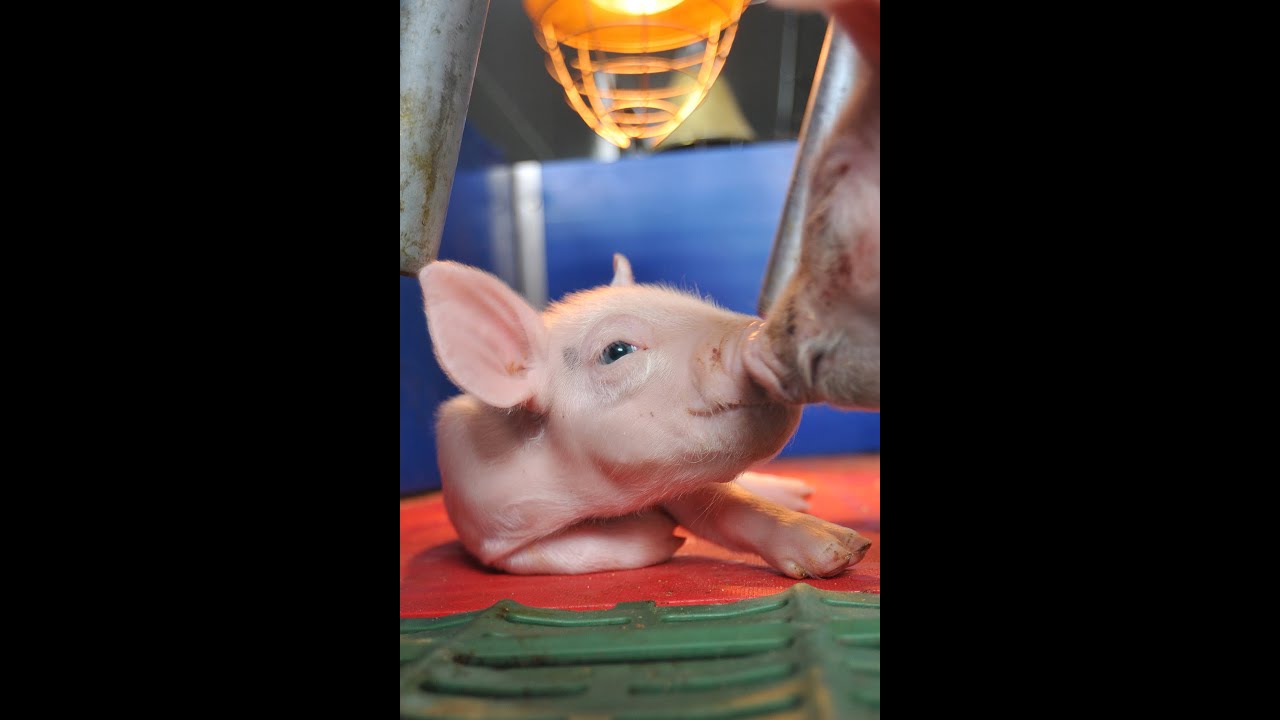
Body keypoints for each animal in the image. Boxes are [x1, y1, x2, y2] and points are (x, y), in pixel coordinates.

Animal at [419, 254, 872, 578]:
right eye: (617, 351)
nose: (760, 333)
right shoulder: (491, 533)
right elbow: (557, 554)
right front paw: (665, 536)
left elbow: (726, 507)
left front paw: (849, 549)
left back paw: (800, 492)